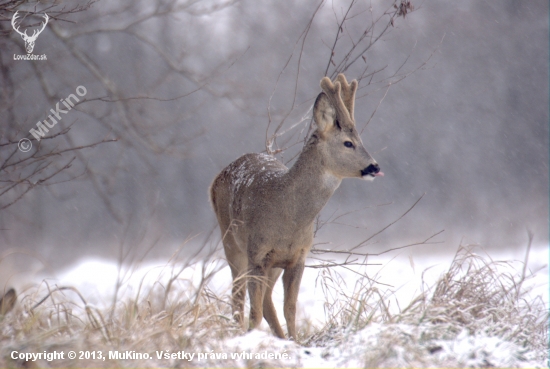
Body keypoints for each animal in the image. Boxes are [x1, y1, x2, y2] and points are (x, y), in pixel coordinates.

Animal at [211, 73, 384, 338]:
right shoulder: (257, 254)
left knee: (266, 301)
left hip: (270, 263)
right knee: (238, 298)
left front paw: (294, 341)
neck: (288, 215)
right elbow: (255, 313)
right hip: (231, 241)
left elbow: (290, 309)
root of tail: (219, 176)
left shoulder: (298, 256)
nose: (374, 167)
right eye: (348, 143)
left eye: (360, 140)